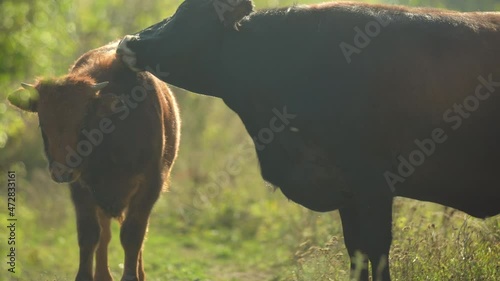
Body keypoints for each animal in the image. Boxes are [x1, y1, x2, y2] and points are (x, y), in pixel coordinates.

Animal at [8, 41, 181, 280]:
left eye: (84, 122)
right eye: (43, 124)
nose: (61, 171)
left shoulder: (150, 185)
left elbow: (133, 234)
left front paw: (131, 276)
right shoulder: (80, 187)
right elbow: (90, 234)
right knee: (105, 234)